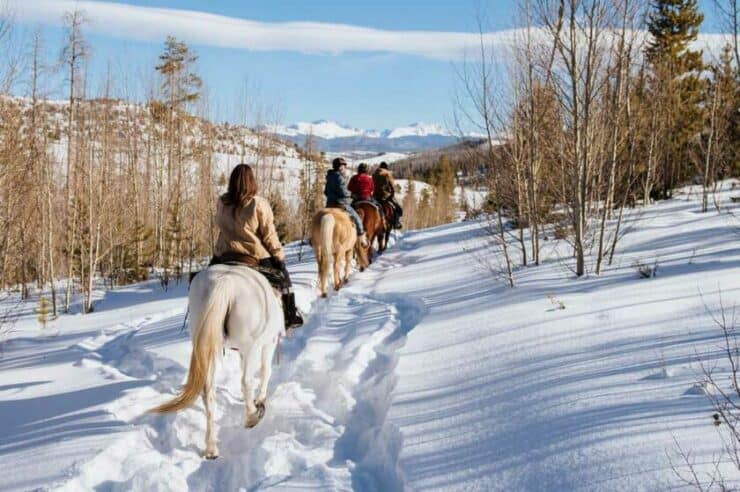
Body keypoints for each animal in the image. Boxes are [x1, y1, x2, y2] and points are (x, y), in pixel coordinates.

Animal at [149, 266, 282, 462]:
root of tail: (224, 281)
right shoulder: (268, 343)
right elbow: (266, 371)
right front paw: (260, 400)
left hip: (207, 345)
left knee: (208, 393)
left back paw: (211, 449)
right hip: (249, 346)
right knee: (246, 381)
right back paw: (251, 416)